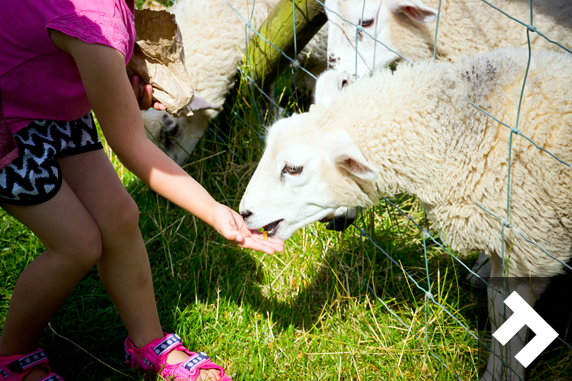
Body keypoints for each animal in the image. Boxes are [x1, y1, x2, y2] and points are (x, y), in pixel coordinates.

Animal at [239, 48, 572, 380]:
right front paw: (497, 371)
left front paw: (506, 373)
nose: (244, 213)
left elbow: (507, 314)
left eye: (293, 168)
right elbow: (499, 308)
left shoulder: (529, 246)